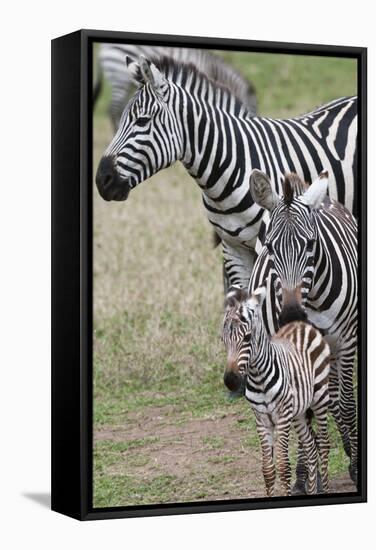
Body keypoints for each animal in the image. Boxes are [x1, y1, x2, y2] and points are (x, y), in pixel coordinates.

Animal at [222, 286, 330, 498]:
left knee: (324, 446)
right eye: (223, 340)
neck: (259, 378)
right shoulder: (261, 419)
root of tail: (300, 323)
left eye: (247, 338)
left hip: (320, 399)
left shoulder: (281, 417)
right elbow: (268, 469)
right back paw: (312, 491)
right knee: (311, 448)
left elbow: (283, 466)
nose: (230, 381)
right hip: (298, 412)